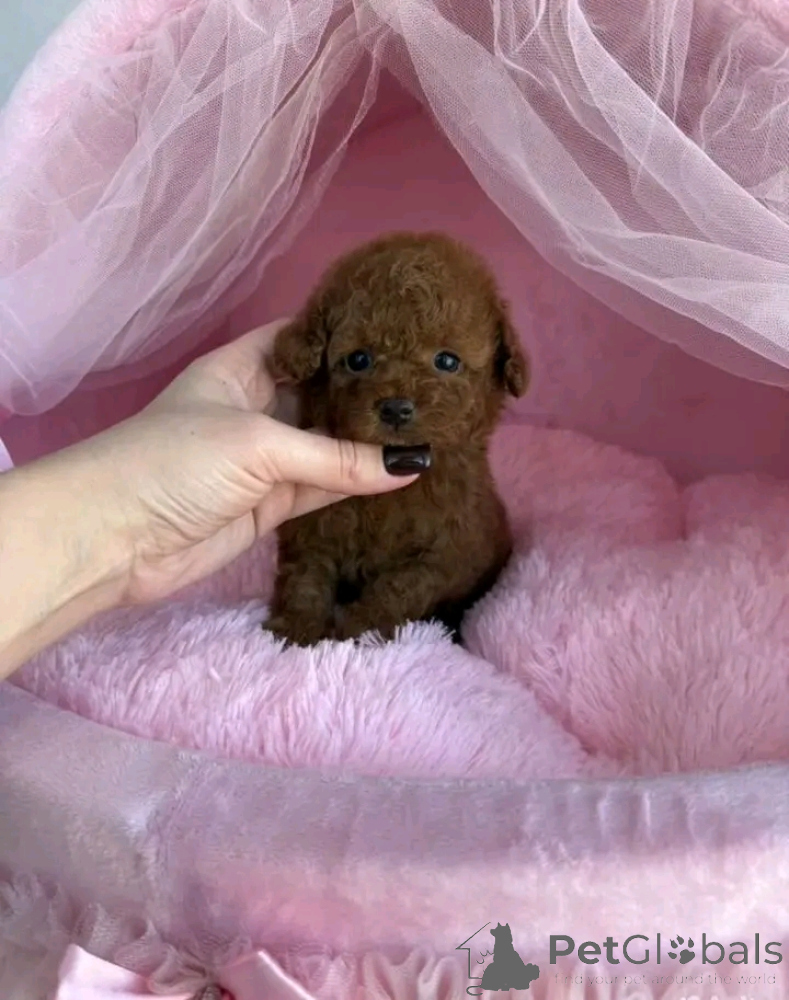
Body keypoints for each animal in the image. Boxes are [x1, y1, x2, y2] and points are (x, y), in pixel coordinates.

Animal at [264, 231, 529, 646]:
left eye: (447, 361)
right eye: (358, 359)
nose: (395, 408)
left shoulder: (448, 552)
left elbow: (401, 586)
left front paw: (358, 629)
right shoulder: (310, 529)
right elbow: (304, 577)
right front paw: (295, 628)